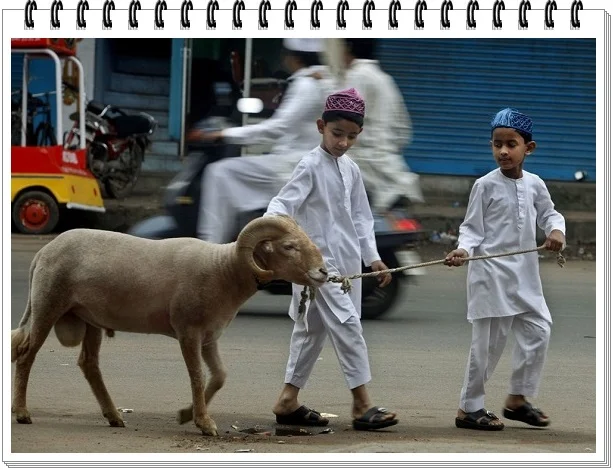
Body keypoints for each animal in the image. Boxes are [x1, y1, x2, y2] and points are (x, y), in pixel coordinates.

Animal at [11, 215, 328, 436]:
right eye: (289, 246)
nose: (323, 272)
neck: (223, 269)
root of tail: (43, 252)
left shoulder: (210, 335)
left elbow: (220, 376)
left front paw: (187, 414)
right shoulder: (188, 330)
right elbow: (197, 377)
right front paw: (204, 423)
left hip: (90, 319)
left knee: (89, 364)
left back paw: (114, 416)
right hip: (48, 303)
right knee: (27, 354)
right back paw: (22, 412)